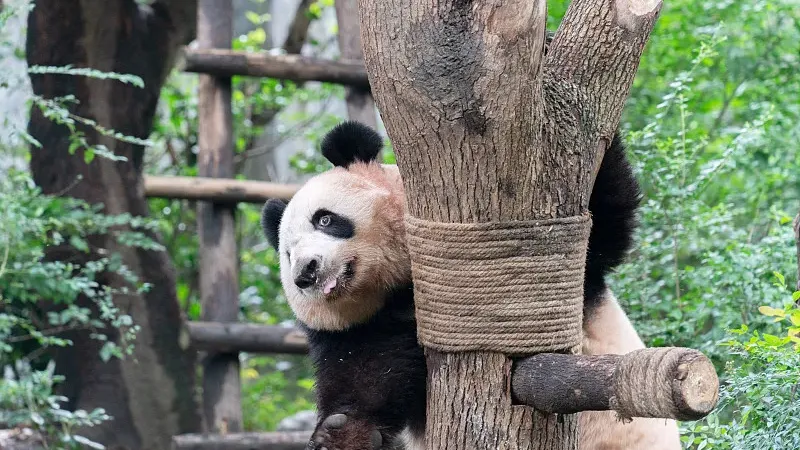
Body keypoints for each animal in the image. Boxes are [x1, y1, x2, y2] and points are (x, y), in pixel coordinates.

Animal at [260, 121, 681, 450]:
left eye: (325, 219)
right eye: (287, 254)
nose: (307, 272)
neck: (396, 287)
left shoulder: (582, 271)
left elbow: (604, 222)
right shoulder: (361, 329)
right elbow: (365, 378)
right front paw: (342, 434)